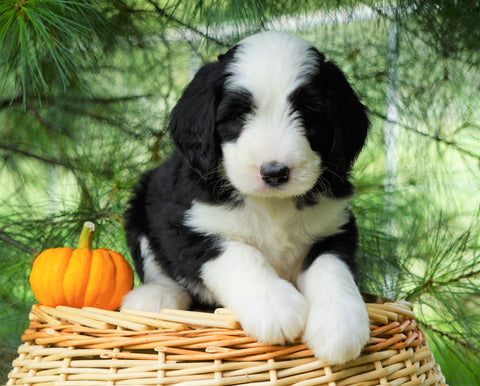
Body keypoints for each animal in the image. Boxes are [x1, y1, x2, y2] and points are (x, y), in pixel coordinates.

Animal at [122, 30, 370, 364]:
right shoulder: (186, 223)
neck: (272, 204)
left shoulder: (334, 225)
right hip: (142, 201)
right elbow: (239, 254)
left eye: (309, 113)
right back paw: (154, 297)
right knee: (160, 269)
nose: (275, 173)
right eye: (239, 115)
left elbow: (331, 267)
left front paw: (340, 324)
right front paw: (274, 306)